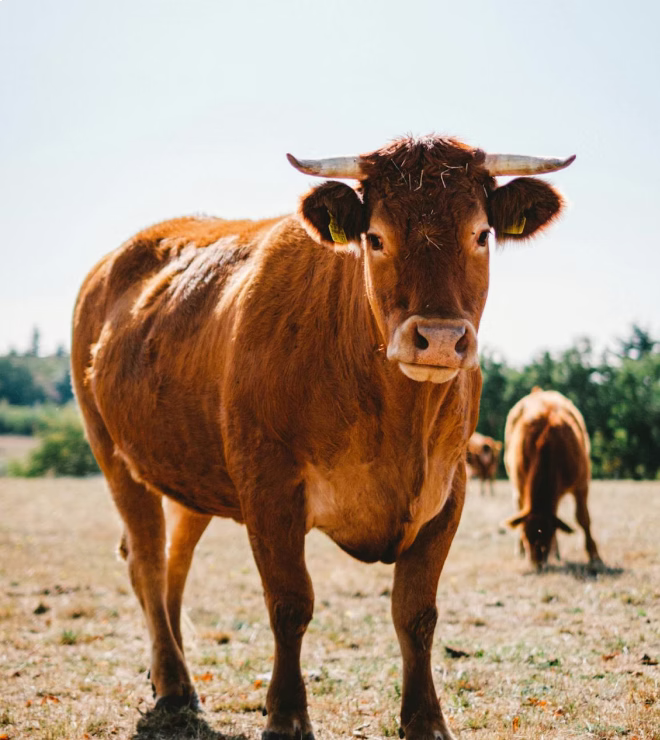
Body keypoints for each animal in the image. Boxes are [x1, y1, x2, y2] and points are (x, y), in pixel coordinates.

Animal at [71, 135, 575, 740]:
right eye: (375, 237)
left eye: (481, 234)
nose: (438, 339)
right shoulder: (269, 487)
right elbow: (290, 604)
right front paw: (286, 714)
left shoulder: (448, 490)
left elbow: (416, 612)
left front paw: (426, 719)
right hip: (113, 453)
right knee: (145, 558)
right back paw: (172, 683)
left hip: (195, 472)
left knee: (174, 560)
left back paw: (174, 675)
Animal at [504, 387, 602, 570]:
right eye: (525, 536)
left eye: (548, 535)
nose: (537, 563)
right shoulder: (521, 483)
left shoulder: (582, 484)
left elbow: (583, 519)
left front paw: (595, 556)